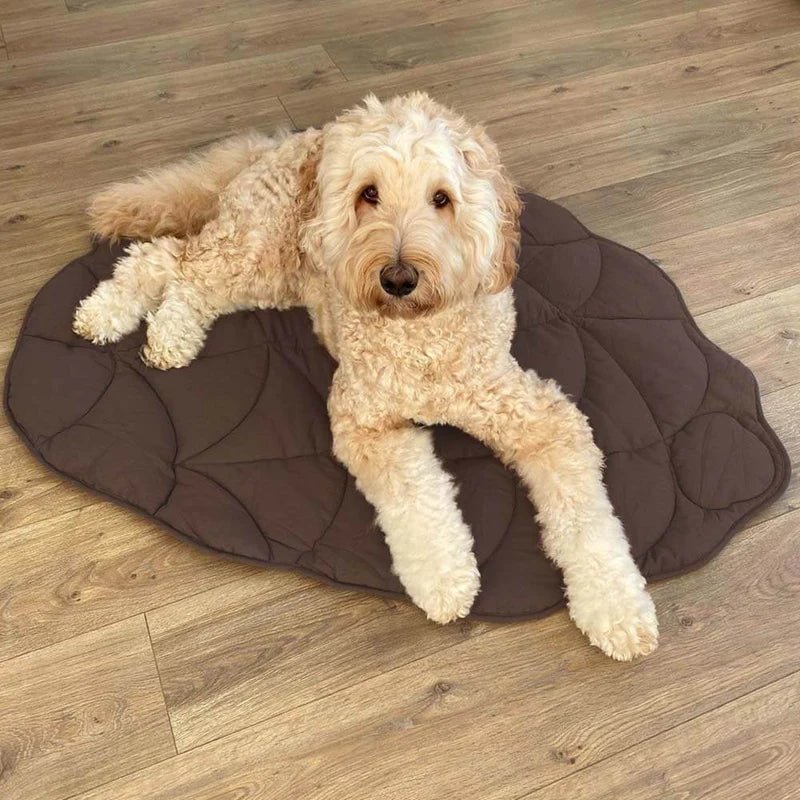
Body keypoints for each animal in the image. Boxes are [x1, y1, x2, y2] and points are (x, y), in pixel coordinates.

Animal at [75, 90, 660, 660]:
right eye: (369, 194)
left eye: (441, 199)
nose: (398, 278)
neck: (419, 337)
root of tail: (288, 142)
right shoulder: (364, 421)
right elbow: (416, 496)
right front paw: (445, 580)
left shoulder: (542, 419)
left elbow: (586, 518)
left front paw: (617, 610)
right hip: (258, 252)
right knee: (166, 258)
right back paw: (112, 316)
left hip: (272, 278)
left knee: (182, 273)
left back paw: (164, 331)